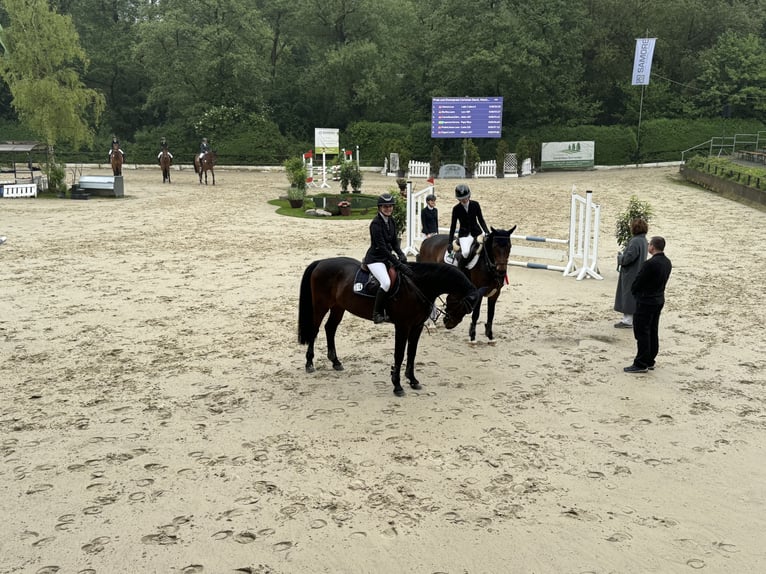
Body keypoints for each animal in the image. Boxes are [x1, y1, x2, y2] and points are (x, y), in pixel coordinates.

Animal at [298, 260, 480, 398]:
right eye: (464, 306)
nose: (450, 323)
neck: (418, 285)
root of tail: (321, 262)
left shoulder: (417, 327)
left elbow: (412, 353)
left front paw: (412, 380)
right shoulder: (403, 326)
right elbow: (399, 354)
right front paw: (397, 385)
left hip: (338, 307)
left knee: (330, 328)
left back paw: (335, 362)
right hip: (321, 306)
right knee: (314, 331)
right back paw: (309, 363)